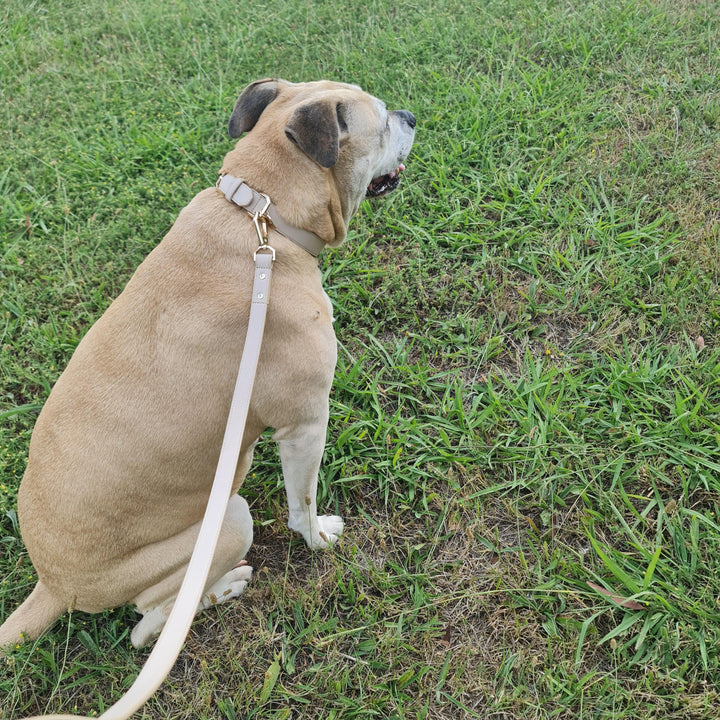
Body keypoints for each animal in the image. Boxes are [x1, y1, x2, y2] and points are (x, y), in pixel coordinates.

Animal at [0, 80, 416, 652]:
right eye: (381, 119)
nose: (412, 116)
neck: (265, 215)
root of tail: (53, 584)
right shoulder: (306, 424)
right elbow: (303, 506)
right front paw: (319, 539)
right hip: (230, 519)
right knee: (149, 626)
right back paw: (226, 587)